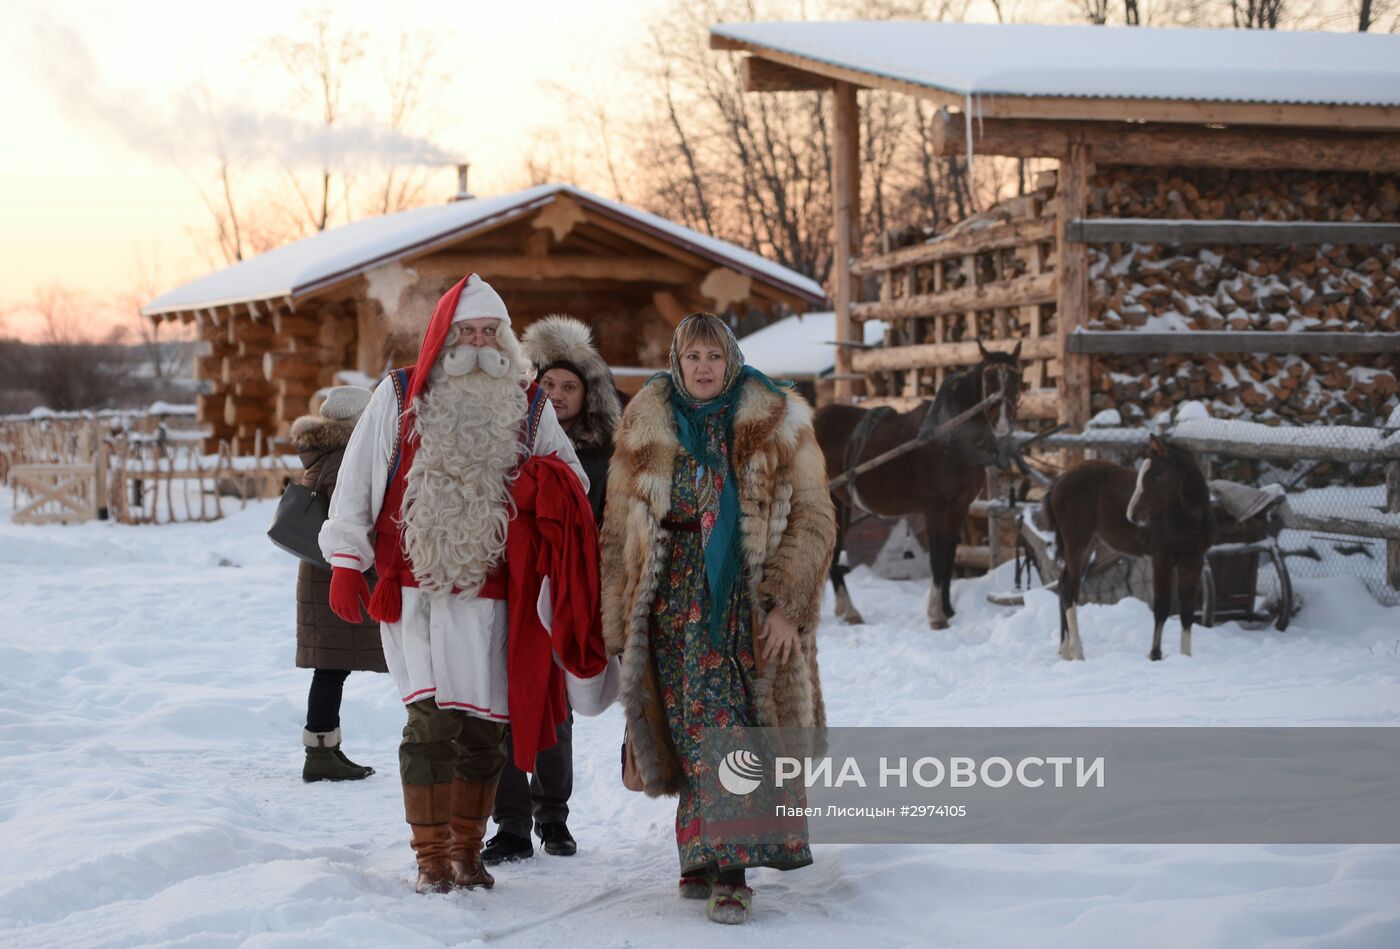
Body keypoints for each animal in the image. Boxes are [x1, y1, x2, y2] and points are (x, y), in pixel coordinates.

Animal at [812, 344, 1030, 632]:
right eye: (989, 378)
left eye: (1016, 377)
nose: (1003, 423)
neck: (950, 435)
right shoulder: (935, 508)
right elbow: (937, 557)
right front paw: (936, 615)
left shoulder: (959, 507)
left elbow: (949, 555)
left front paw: (947, 609)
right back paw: (848, 610)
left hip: (842, 504)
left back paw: (845, 611)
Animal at [1052, 436, 1215, 666]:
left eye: (1156, 475)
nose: (1132, 515)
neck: (1190, 519)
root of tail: (1059, 480)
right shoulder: (1161, 559)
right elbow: (1162, 607)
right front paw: (1155, 655)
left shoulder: (1194, 561)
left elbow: (1187, 611)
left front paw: (1186, 657)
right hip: (1077, 542)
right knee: (1070, 590)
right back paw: (1078, 652)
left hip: (1087, 544)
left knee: (1062, 583)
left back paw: (1065, 651)